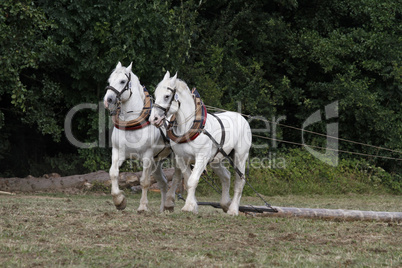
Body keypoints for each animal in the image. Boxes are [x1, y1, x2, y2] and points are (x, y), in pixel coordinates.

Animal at [103, 61, 181, 213]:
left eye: (122, 81)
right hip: (157, 162)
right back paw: (162, 209)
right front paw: (119, 200)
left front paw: (143, 206)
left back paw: (169, 203)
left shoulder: (147, 155)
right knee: (163, 183)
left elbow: (144, 181)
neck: (131, 122)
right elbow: (113, 173)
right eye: (109, 81)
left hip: (176, 157)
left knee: (177, 177)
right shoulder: (118, 152)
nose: (108, 100)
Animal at [149, 71, 253, 216]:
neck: (189, 127)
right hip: (216, 160)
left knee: (240, 181)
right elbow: (188, 180)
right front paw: (192, 205)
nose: (154, 119)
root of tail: (242, 118)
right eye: (155, 95)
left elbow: (193, 180)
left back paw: (233, 209)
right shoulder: (181, 159)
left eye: (167, 96)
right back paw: (225, 204)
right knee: (226, 176)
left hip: (240, 156)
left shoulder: (201, 157)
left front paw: (188, 206)